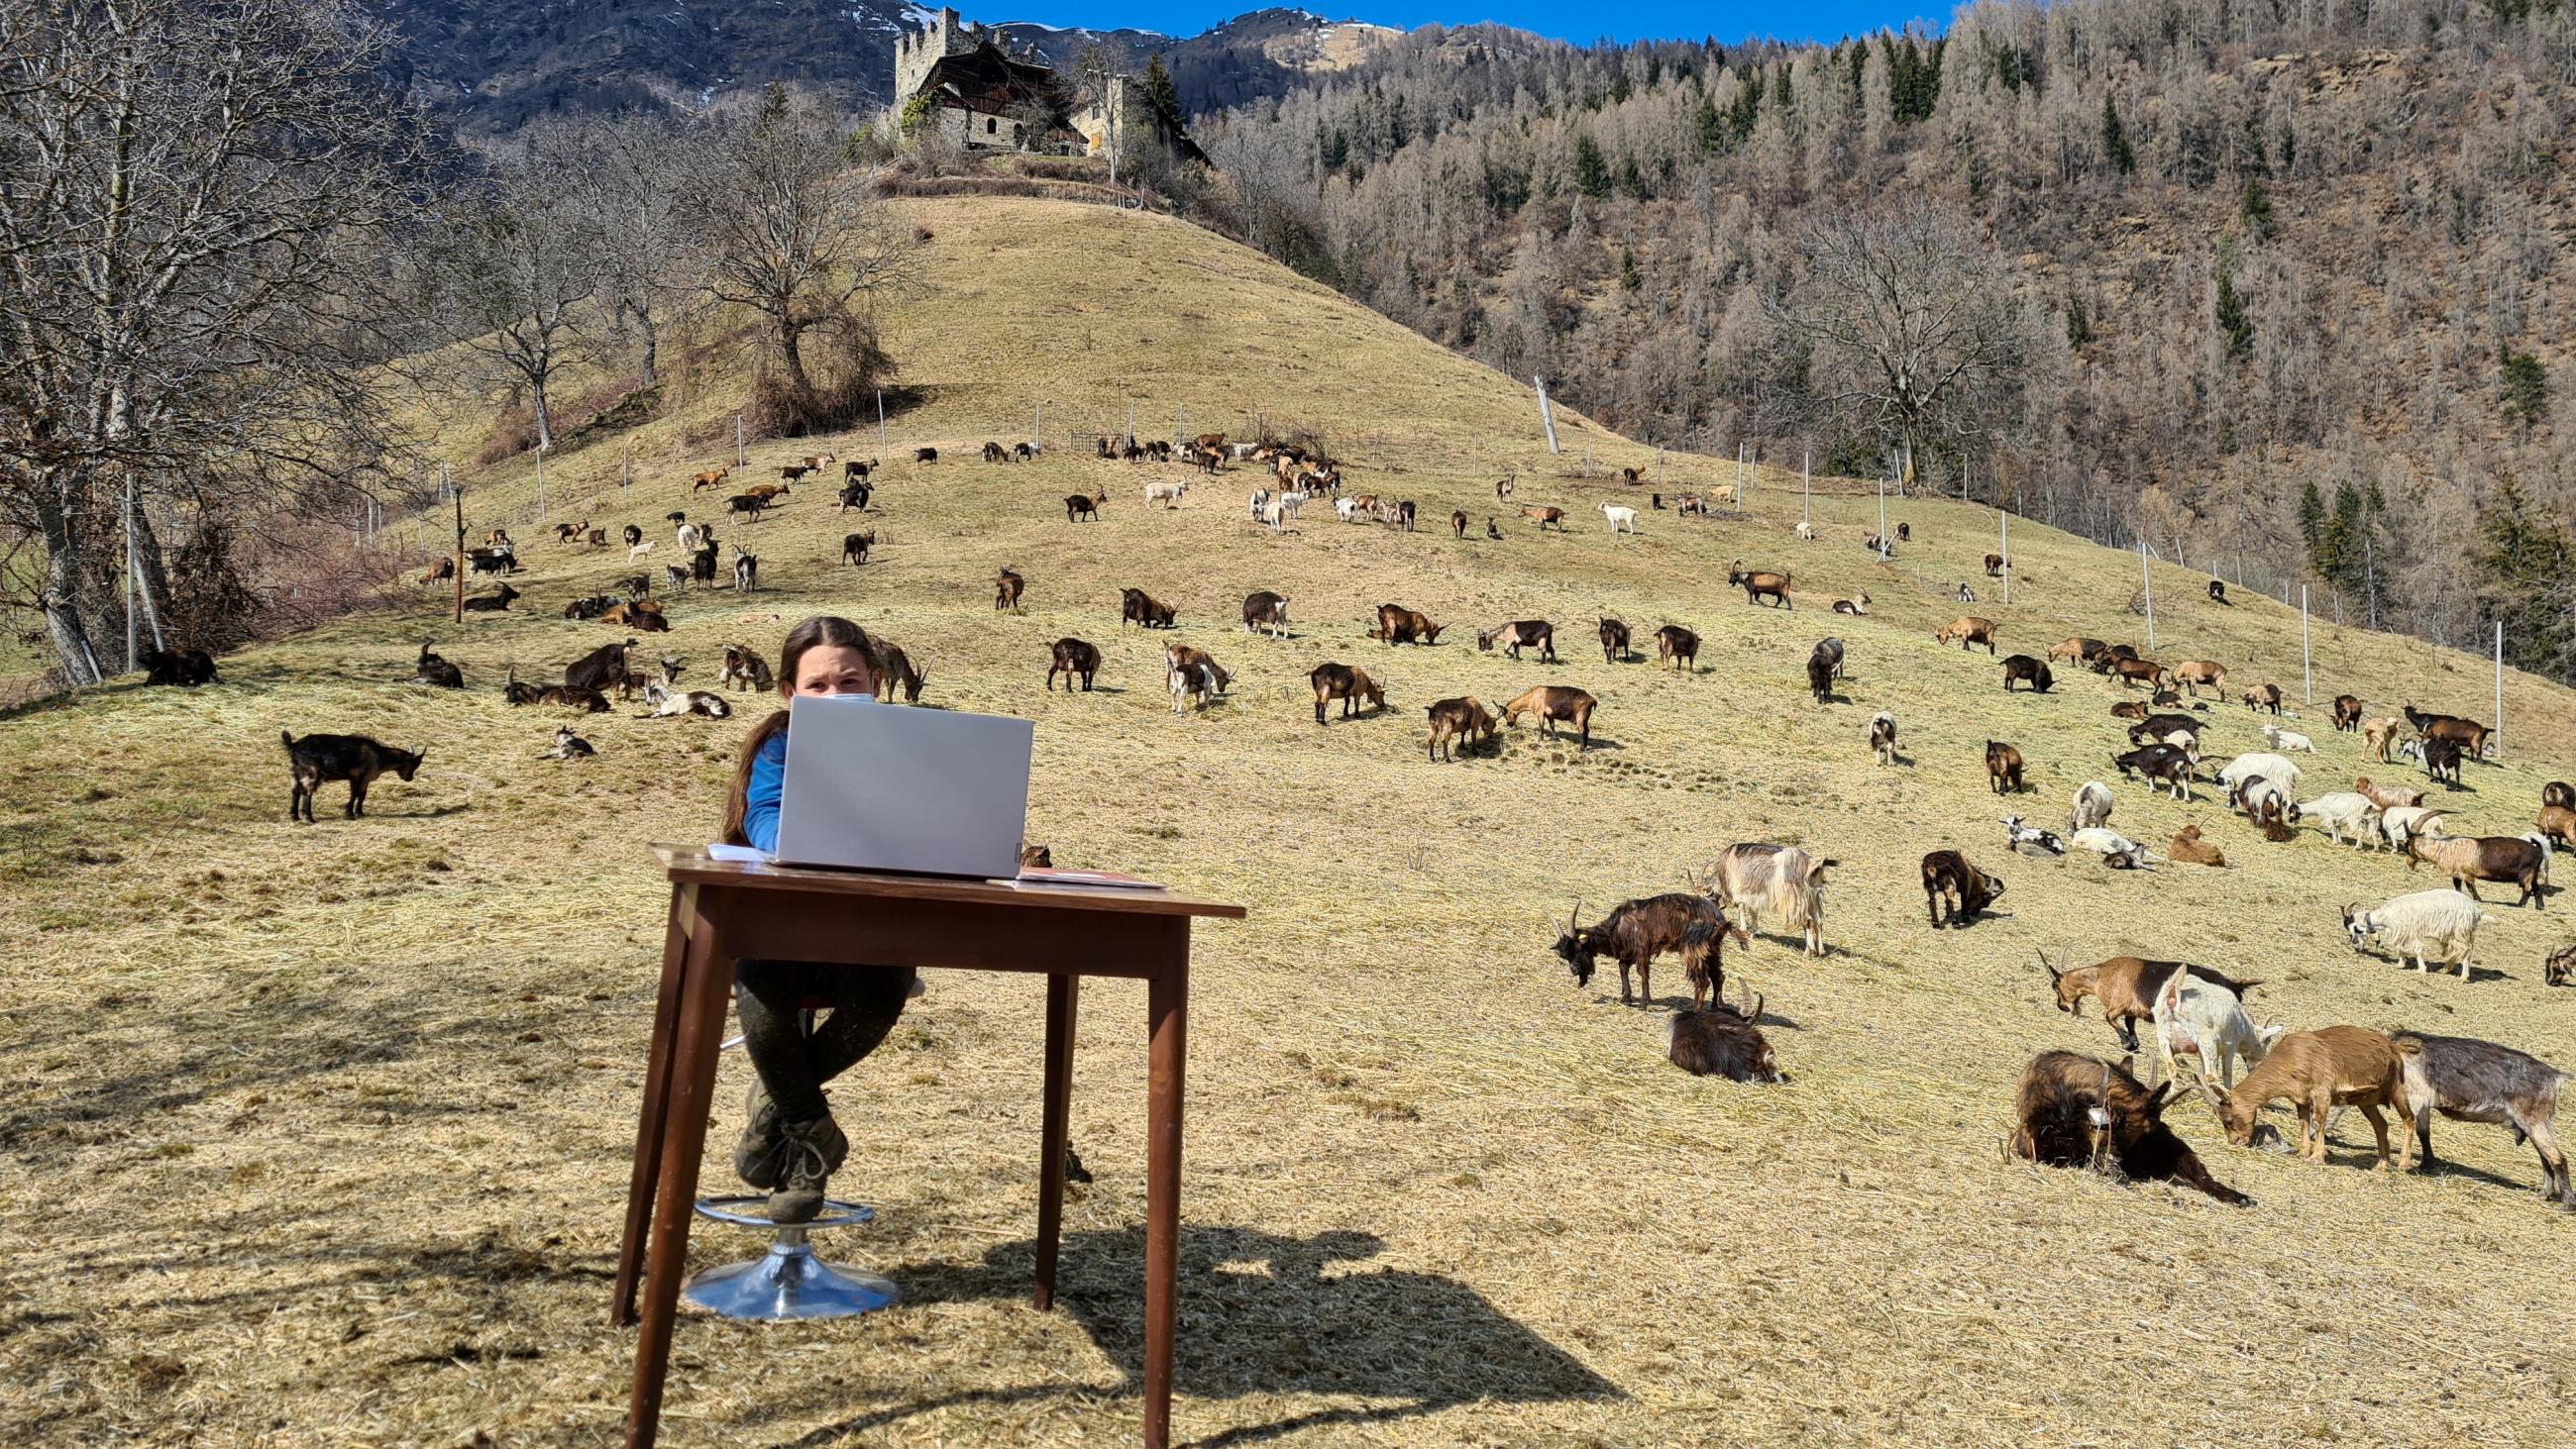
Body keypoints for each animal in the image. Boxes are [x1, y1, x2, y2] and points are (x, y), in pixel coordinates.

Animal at [2143, 962, 2287, 1090]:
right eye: (2268, 1042)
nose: (2252, 1069)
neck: (2244, 1028)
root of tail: (2174, 994)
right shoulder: (2230, 1046)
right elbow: (2227, 1074)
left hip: (2164, 1036)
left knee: (2172, 1068)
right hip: (2205, 1038)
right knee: (2210, 1075)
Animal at [2349, 890, 2483, 983]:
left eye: (2355, 929)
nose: (2354, 942)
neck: (2385, 916)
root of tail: (2476, 911)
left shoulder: (2406, 932)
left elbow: (2417, 950)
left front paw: (2421, 969)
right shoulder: (2403, 933)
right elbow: (2401, 948)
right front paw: (2401, 964)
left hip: (2460, 931)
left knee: (2465, 950)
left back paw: (2456, 973)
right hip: (2461, 934)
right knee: (2466, 952)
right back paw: (2455, 971)